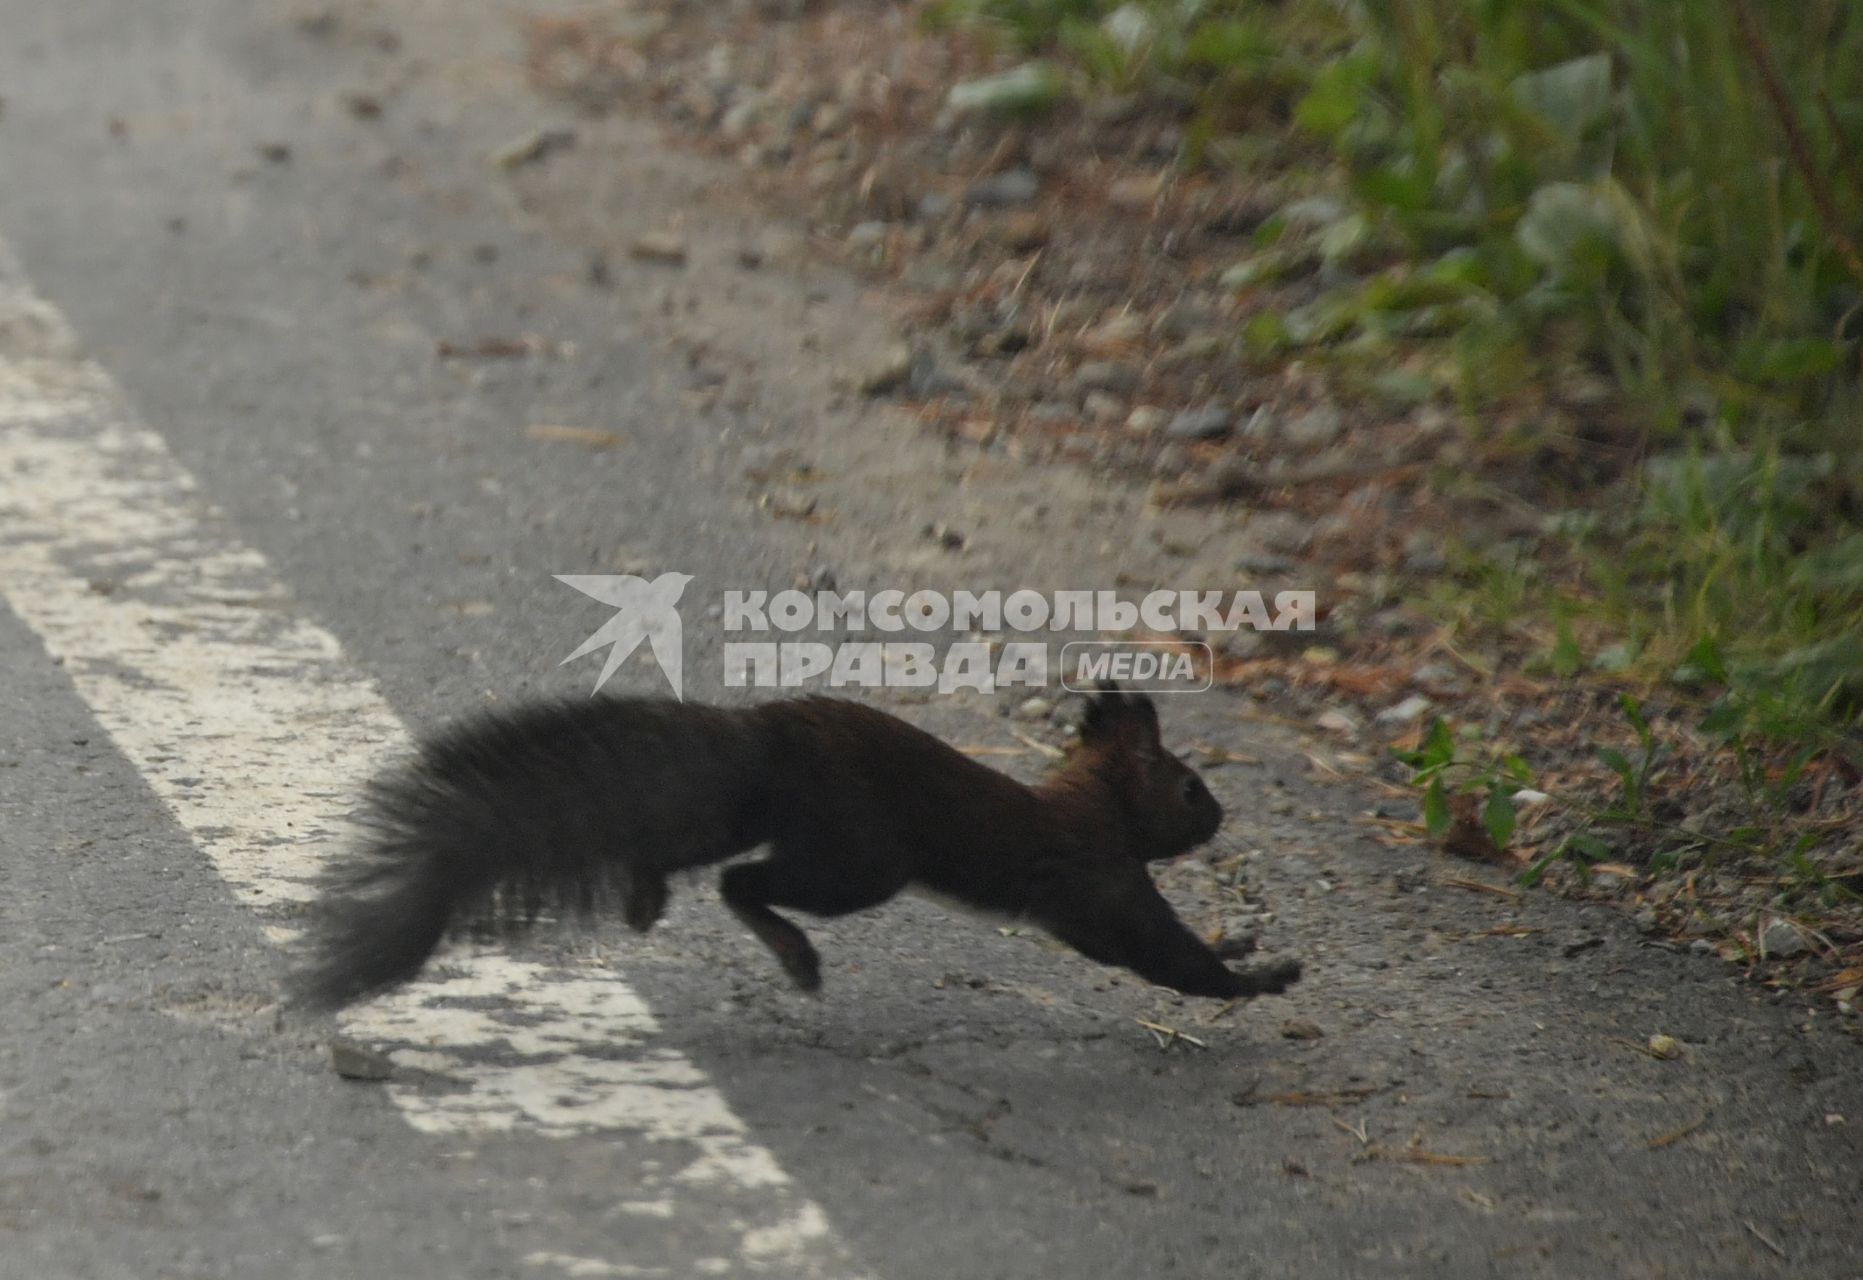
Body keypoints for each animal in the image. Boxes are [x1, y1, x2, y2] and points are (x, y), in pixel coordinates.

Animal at [298, 689, 1304, 1013]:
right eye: (1190, 789)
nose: (1220, 819)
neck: (1092, 802)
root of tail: (767, 736)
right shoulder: (1100, 883)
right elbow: (1162, 957)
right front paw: (1262, 976)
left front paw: (1249, 945)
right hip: (858, 858)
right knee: (746, 882)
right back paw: (793, 953)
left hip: (753, 814)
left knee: (684, 845)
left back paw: (644, 896)